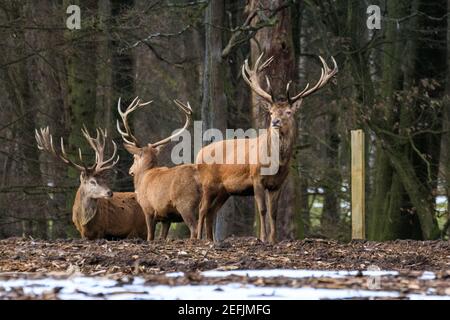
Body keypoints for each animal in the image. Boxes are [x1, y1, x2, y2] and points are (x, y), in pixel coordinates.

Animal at [116, 97, 200, 240]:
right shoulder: (166, 217)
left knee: (194, 229)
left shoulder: (148, 209)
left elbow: (150, 236)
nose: (130, 171)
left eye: (134, 157)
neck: (144, 175)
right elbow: (162, 236)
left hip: (186, 204)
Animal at [196, 53, 338, 242]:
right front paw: (262, 238)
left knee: (211, 212)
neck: (275, 163)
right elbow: (262, 210)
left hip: (224, 190)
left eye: (288, 112)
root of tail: (199, 154)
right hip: (208, 183)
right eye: (271, 112)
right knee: (202, 209)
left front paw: (273, 239)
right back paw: (197, 238)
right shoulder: (256, 177)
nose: (275, 122)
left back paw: (211, 239)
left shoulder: (278, 184)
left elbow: (274, 212)